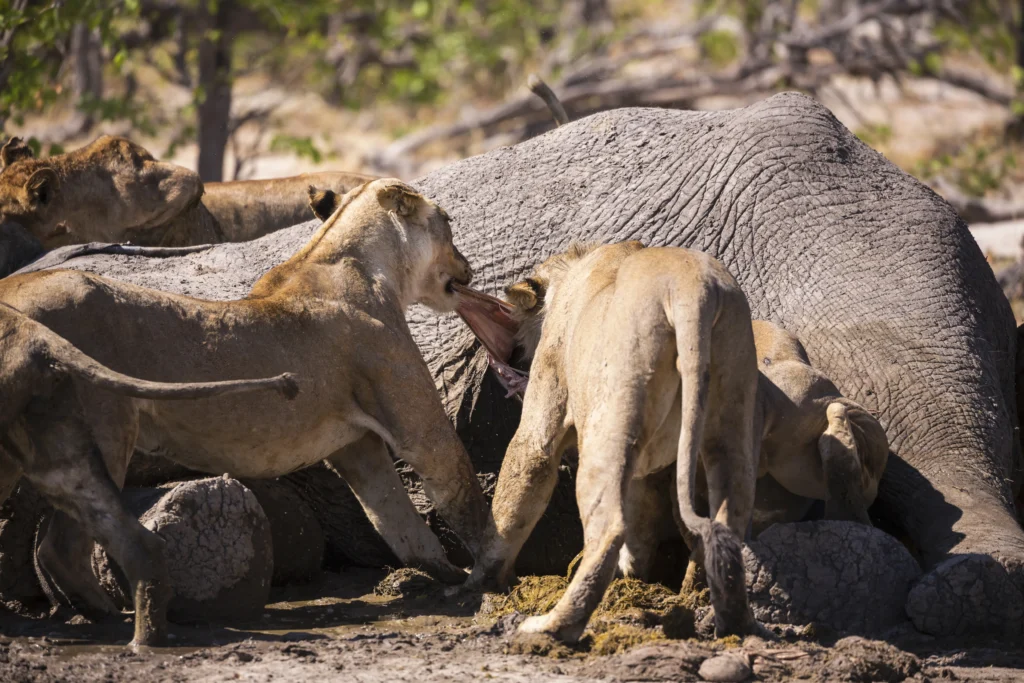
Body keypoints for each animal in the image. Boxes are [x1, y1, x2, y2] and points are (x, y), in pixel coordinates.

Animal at [456, 241, 761, 643]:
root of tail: (691, 289)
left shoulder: (545, 405)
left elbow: (517, 490)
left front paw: (478, 580)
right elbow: (642, 510)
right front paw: (634, 568)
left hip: (608, 421)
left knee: (608, 529)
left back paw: (552, 626)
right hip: (729, 416)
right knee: (728, 520)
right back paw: (729, 619)